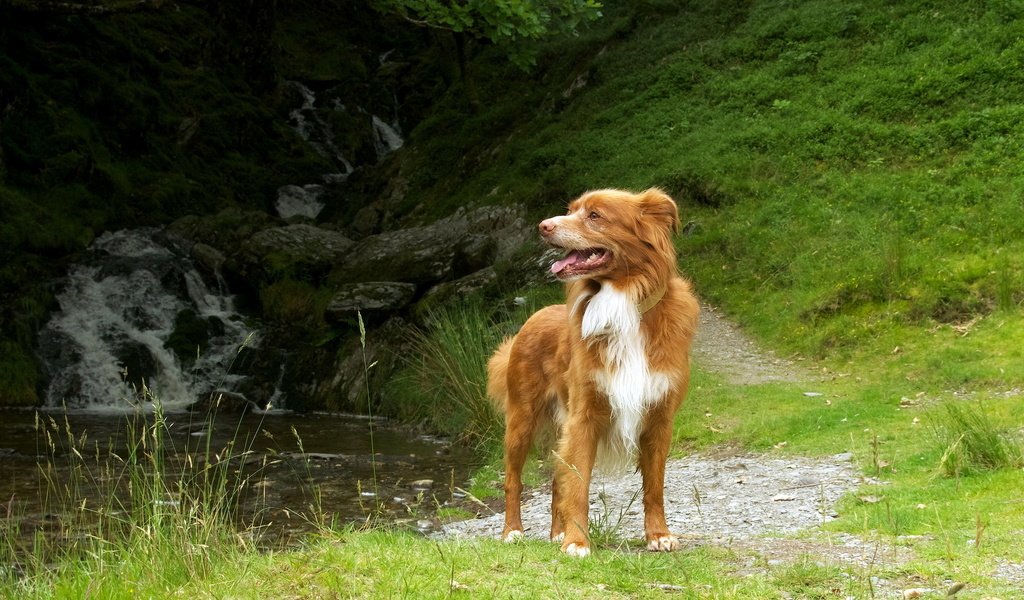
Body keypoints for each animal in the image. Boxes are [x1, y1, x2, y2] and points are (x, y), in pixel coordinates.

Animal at [485, 186, 696, 556]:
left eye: (595, 215)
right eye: (570, 210)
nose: (543, 226)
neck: (624, 302)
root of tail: (535, 316)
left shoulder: (660, 415)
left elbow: (655, 486)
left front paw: (658, 535)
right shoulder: (584, 415)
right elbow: (579, 482)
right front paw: (577, 541)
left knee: (557, 478)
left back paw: (555, 532)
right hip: (521, 420)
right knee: (513, 480)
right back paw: (513, 531)